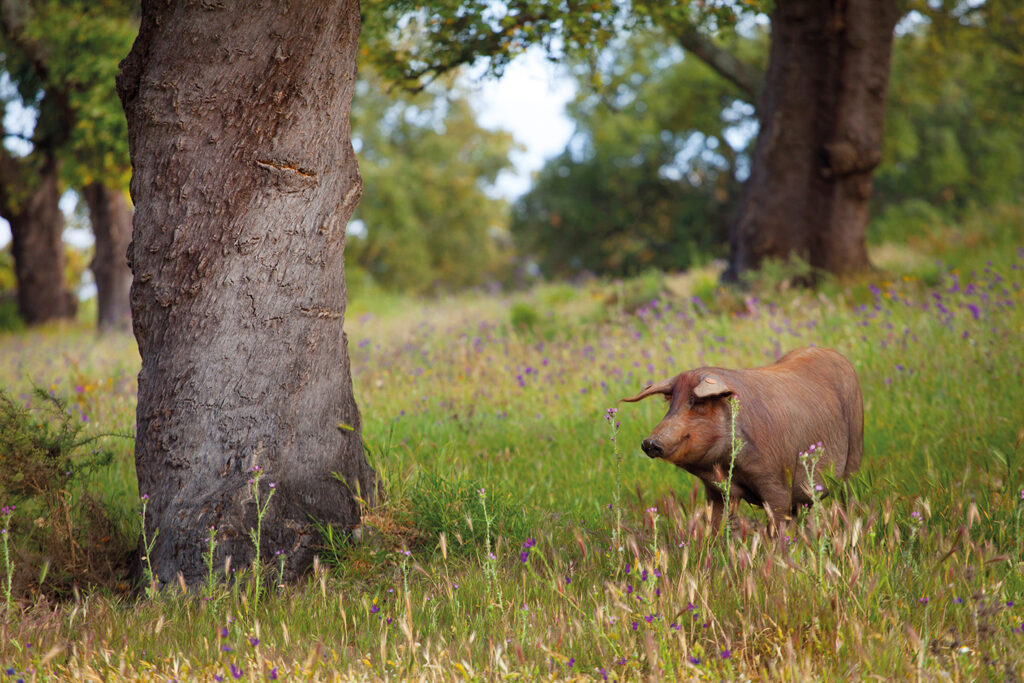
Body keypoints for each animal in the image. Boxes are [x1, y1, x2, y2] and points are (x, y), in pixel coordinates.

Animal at [618, 348, 860, 528]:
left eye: (698, 402)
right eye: (671, 403)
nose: (650, 442)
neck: (726, 465)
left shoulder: (776, 482)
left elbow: (777, 524)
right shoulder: (715, 490)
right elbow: (716, 522)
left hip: (855, 452)